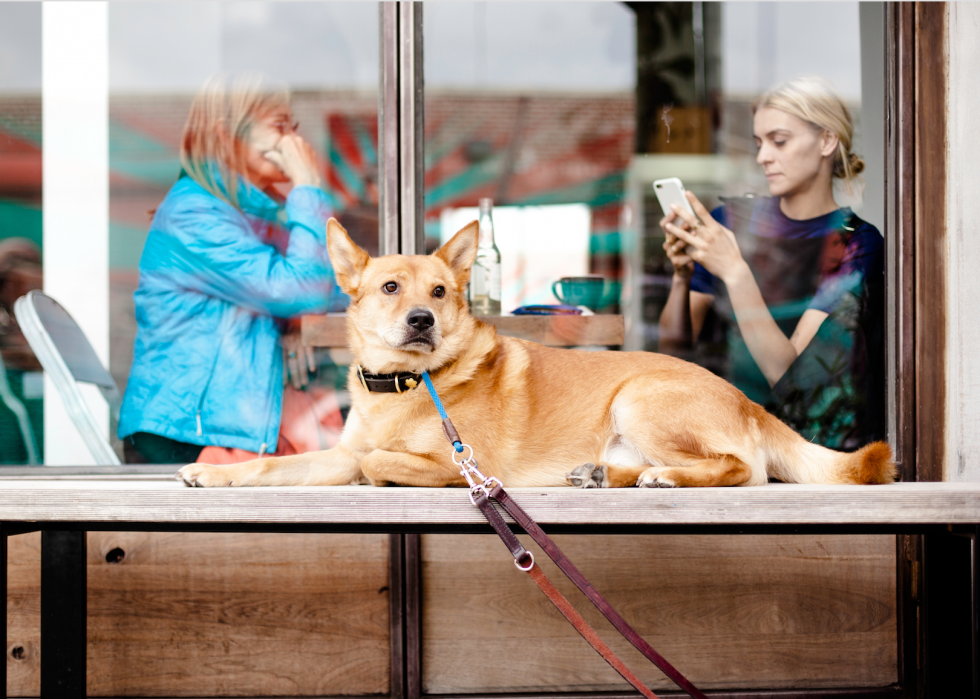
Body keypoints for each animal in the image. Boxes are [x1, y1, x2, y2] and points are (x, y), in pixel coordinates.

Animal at [176, 221, 896, 490]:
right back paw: (606, 476)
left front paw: (381, 472)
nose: (422, 319)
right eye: (390, 287)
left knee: (743, 469)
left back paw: (666, 478)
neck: (406, 385)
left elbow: (378, 460)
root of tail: (747, 400)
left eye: (440, 291)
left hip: (640, 397)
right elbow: (278, 466)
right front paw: (217, 475)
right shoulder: (336, 452)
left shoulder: (463, 464)